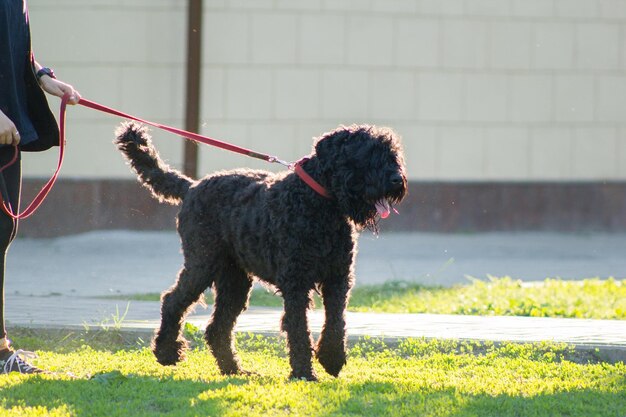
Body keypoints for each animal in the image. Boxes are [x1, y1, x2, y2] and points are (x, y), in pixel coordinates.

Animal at [114, 121, 408, 380]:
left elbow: (336, 321)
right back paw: (167, 353)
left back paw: (234, 369)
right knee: (173, 301)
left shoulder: (338, 278)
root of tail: (192, 187)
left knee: (217, 327)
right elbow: (298, 328)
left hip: (234, 279)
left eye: (392, 153)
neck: (319, 204)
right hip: (202, 263)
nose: (396, 179)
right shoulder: (296, 283)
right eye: (368, 153)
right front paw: (304, 373)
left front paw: (332, 359)